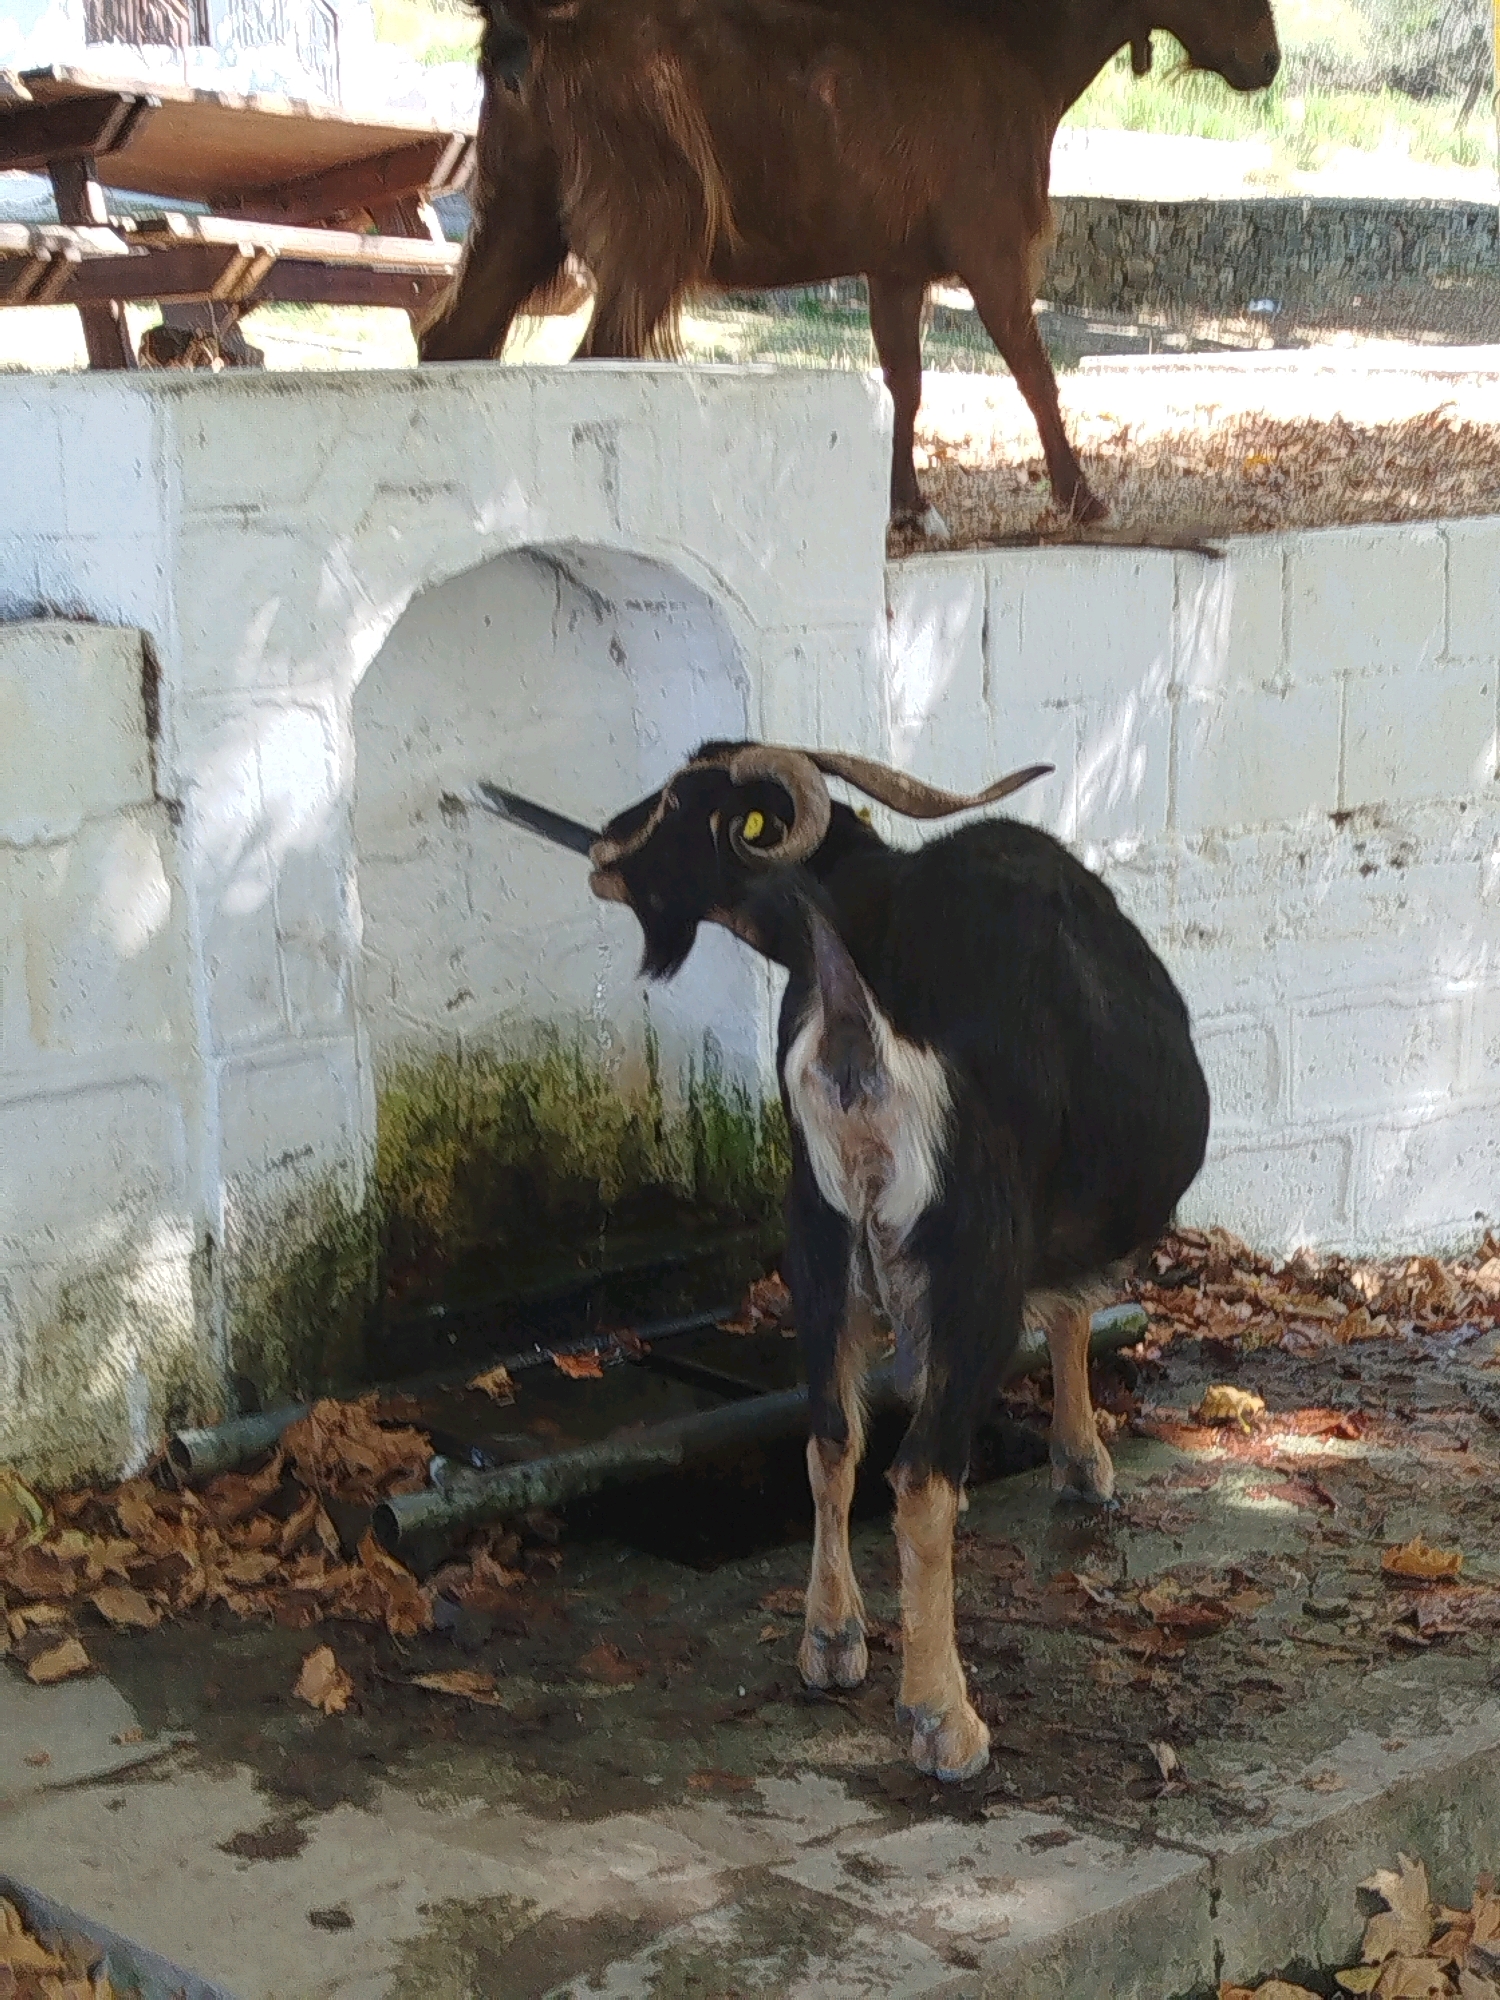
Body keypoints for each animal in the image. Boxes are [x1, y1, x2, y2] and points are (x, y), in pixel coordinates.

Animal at [421, 0, 1281, 529]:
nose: (1269, 62)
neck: (1011, 41)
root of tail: (532, 26)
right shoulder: (991, 245)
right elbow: (1034, 371)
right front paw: (1083, 498)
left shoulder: (895, 265)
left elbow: (905, 383)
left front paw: (907, 507)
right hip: (649, 220)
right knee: (602, 358)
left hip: (517, 208)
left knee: (453, 343)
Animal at [583, 742, 1211, 1780]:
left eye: (686, 800)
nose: (601, 848)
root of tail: (859, 1021)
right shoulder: (1022, 1239)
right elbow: (1071, 1309)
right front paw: (1084, 1464)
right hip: (967, 1265)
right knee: (921, 1478)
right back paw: (944, 1721)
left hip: (816, 1240)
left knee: (831, 1436)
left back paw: (831, 1642)